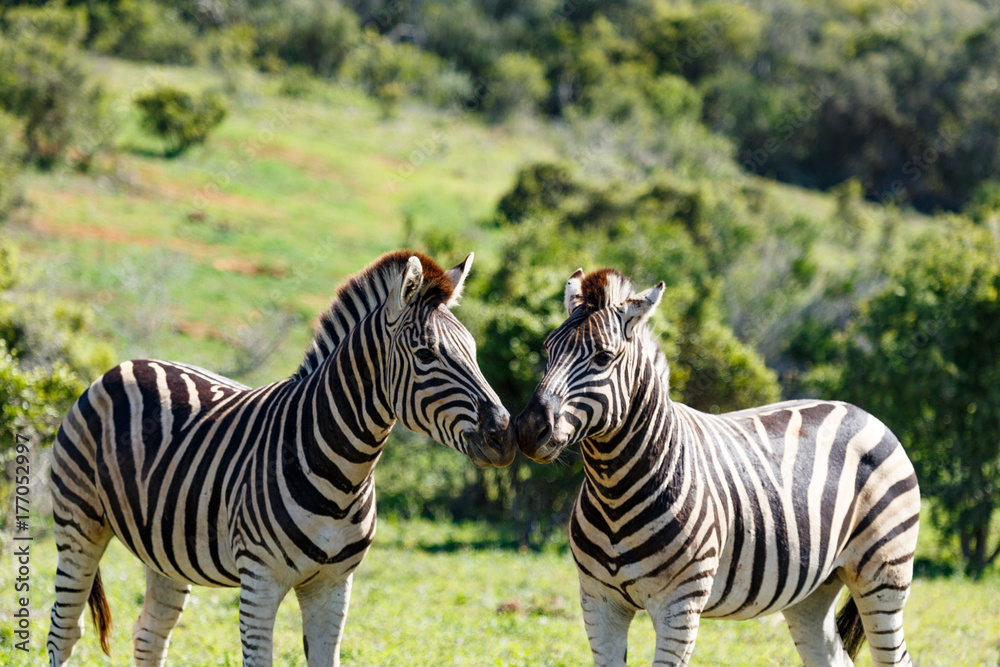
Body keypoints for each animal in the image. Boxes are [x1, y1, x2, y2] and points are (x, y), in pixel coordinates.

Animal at [46, 250, 515, 666]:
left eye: (473, 350)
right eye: (426, 355)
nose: (505, 436)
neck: (344, 473)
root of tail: (124, 366)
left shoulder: (334, 585)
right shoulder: (260, 579)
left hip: (165, 550)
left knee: (149, 635)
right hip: (79, 525)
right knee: (64, 631)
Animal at [515, 267, 920, 667]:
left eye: (602, 357)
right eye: (548, 349)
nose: (529, 429)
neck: (613, 490)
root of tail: (861, 411)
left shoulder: (679, 607)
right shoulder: (598, 602)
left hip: (884, 575)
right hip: (813, 590)